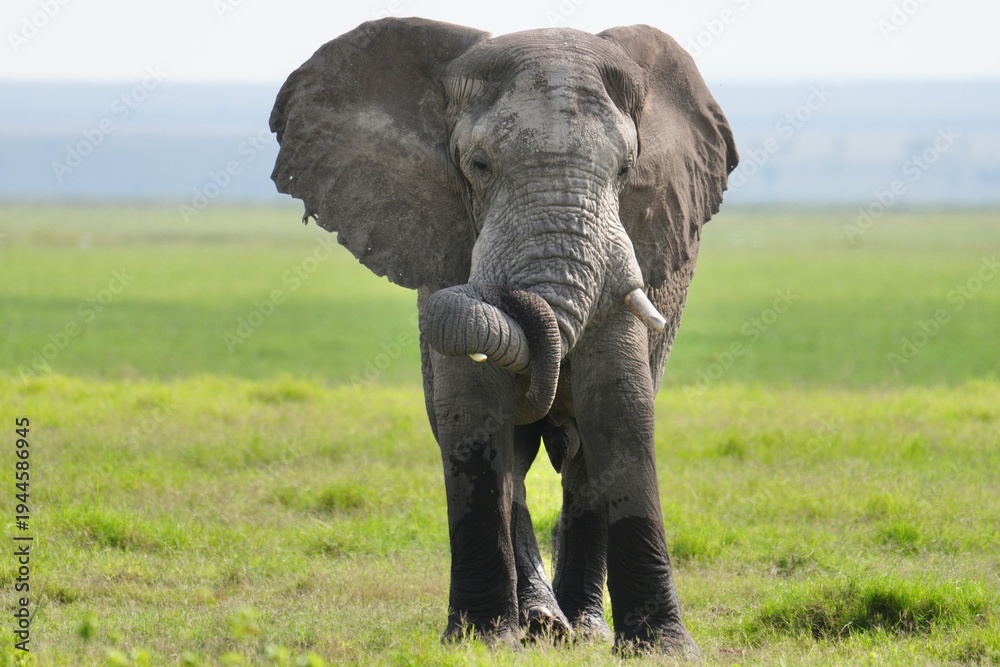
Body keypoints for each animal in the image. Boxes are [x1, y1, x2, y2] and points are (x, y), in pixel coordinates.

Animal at [269, 17, 737, 655]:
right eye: (479, 165)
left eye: (625, 170)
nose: (515, 296)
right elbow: (470, 415)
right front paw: (480, 640)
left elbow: (620, 405)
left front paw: (663, 649)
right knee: (510, 455)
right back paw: (540, 623)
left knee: (580, 465)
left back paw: (579, 629)